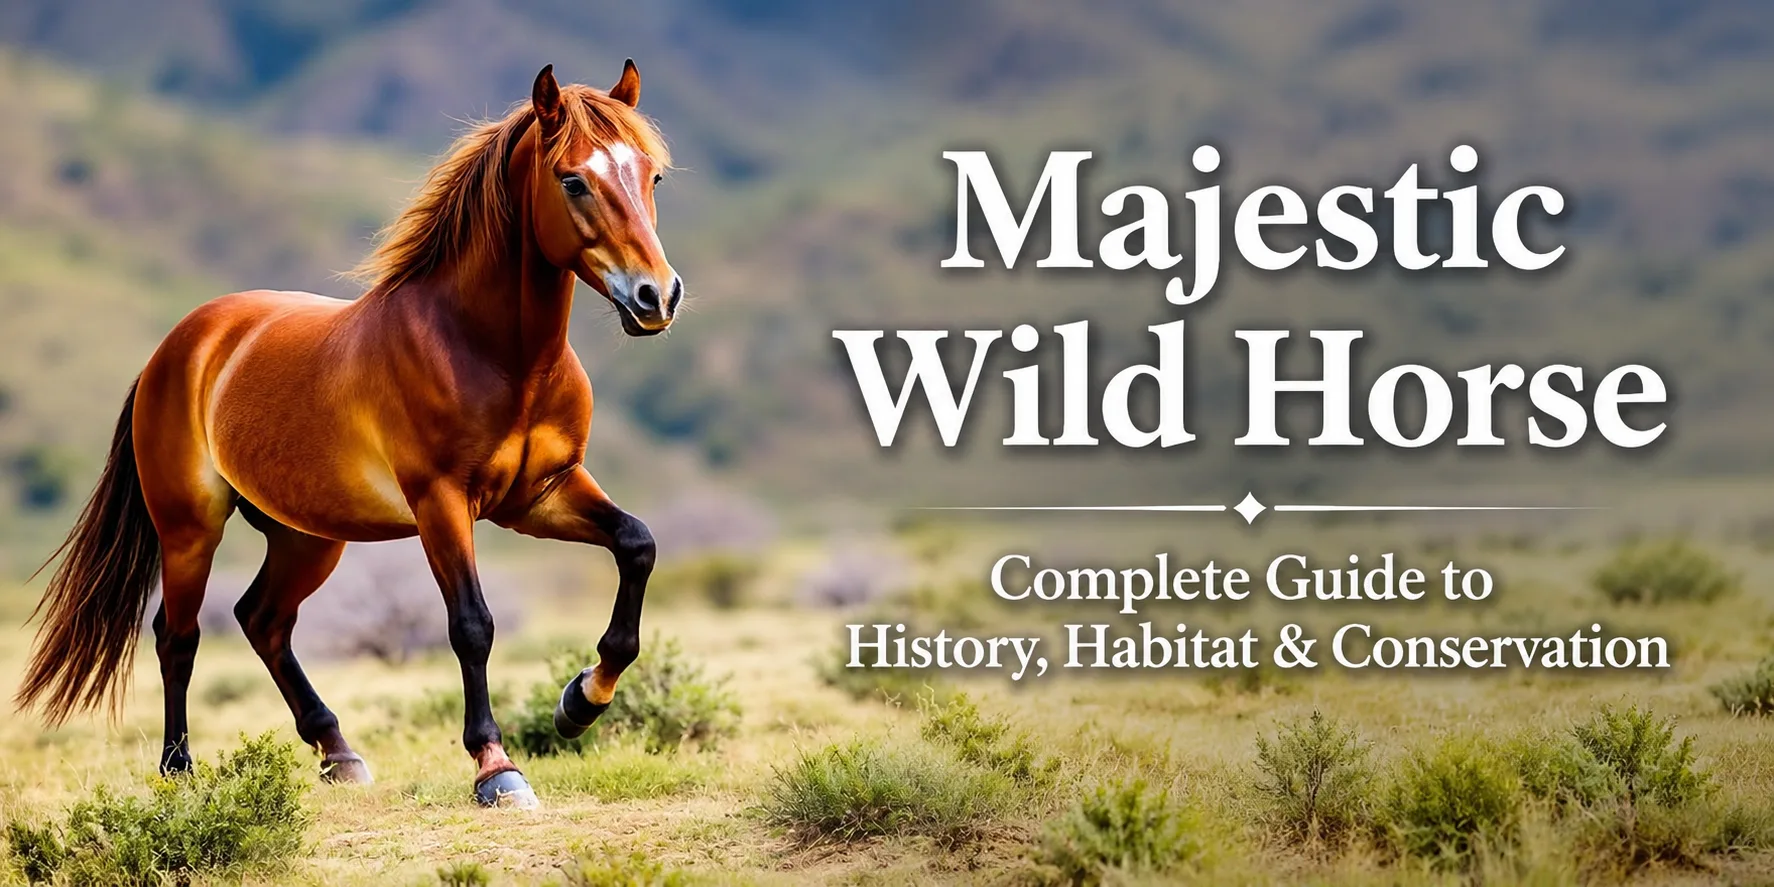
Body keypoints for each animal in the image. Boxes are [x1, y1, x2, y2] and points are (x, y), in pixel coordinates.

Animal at [14, 62, 679, 809]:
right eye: (572, 180)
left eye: (652, 175)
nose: (657, 295)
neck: (492, 352)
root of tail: (176, 348)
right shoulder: (441, 503)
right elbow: (471, 624)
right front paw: (496, 767)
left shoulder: (541, 495)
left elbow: (637, 545)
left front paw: (579, 702)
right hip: (190, 529)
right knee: (177, 636)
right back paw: (180, 770)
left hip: (306, 536)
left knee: (262, 619)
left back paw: (338, 752)